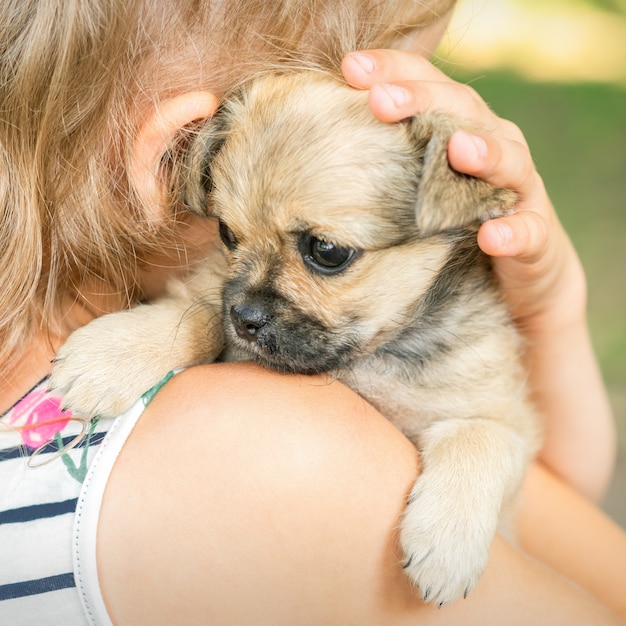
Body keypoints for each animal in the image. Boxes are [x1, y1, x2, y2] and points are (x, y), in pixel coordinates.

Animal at [51, 69, 540, 604]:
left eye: (327, 251)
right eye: (227, 234)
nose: (244, 317)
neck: (369, 356)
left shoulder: (508, 423)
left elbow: (479, 436)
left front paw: (448, 542)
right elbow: (196, 312)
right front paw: (114, 354)